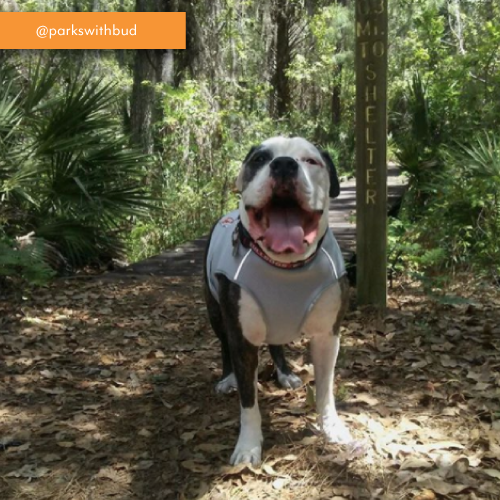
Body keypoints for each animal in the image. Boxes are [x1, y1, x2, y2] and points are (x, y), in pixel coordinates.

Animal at [203, 137, 352, 464]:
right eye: (259, 159)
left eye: (311, 161)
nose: (284, 164)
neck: (286, 266)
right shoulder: (242, 337)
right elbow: (249, 401)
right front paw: (248, 446)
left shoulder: (327, 335)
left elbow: (326, 388)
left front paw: (331, 427)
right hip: (216, 314)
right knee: (224, 345)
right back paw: (228, 378)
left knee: (276, 344)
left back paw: (285, 374)